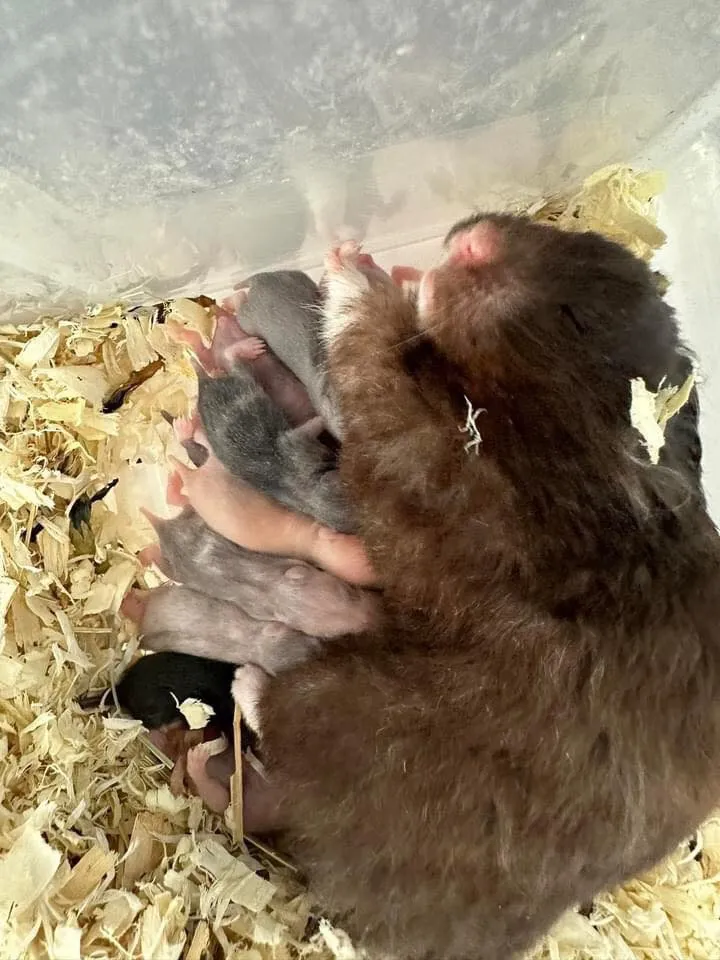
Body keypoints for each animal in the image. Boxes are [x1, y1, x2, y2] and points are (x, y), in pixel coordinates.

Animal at [229, 215, 720, 960]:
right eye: (568, 236)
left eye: (574, 318)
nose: (473, 237)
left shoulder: (439, 474)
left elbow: (374, 367)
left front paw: (357, 266)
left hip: (356, 709)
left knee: (282, 713)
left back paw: (246, 681)